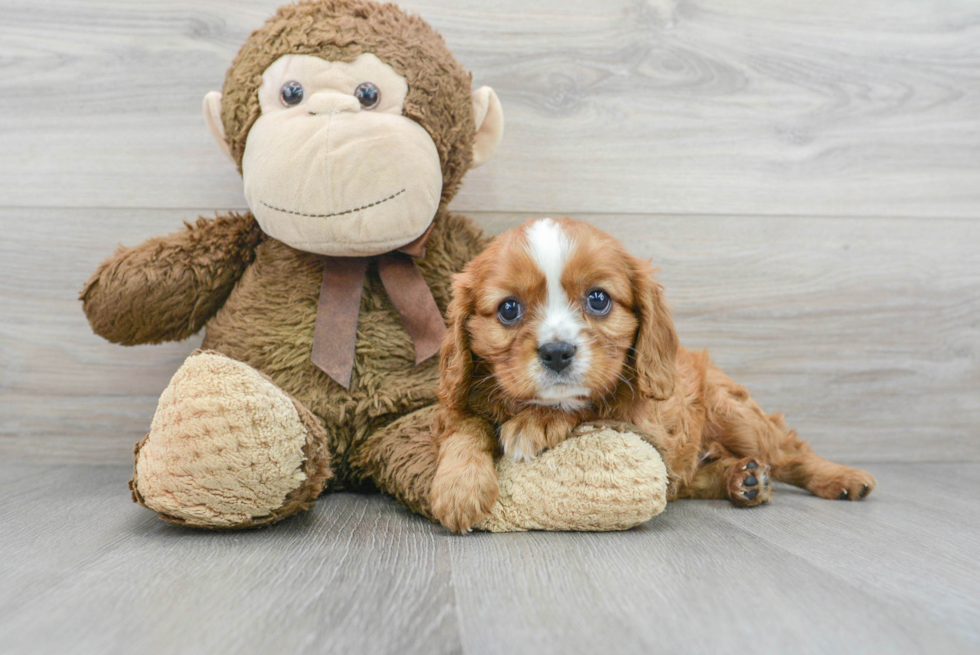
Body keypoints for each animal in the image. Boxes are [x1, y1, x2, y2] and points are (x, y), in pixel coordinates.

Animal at [432, 218, 876, 536]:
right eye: (509, 309)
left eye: (598, 299)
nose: (557, 352)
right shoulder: (461, 400)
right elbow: (465, 426)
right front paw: (459, 486)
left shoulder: (647, 424)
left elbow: (594, 402)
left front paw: (537, 422)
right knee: (694, 478)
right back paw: (744, 480)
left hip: (735, 416)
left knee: (789, 451)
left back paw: (841, 477)